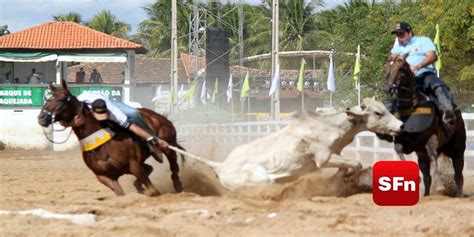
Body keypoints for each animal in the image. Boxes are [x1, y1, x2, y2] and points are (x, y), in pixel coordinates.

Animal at [38, 79, 185, 196]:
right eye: (47, 99)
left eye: (61, 100)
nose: (42, 117)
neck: (102, 145)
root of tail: (160, 117)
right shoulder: (104, 177)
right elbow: (121, 193)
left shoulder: (134, 166)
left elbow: (153, 191)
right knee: (150, 168)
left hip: (169, 145)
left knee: (173, 165)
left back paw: (178, 185)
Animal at [183, 97, 402, 192]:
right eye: (378, 113)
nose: (400, 125)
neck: (330, 126)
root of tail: (221, 166)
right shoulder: (324, 158)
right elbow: (356, 163)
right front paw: (350, 180)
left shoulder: (335, 154)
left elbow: (346, 166)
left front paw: (342, 179)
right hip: (257, 178)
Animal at [384, 53, 464, 196]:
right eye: (387, 66)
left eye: (400, 69)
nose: (388, 88)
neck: (412, 107)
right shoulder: (403, 143)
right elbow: (399, 152)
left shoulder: (432, 140)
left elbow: (434, 162)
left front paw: (438, 185)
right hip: (423, 155)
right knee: (427, 176)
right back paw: (426, 194)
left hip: (458, 149)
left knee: (458, 175)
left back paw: (459, 194)